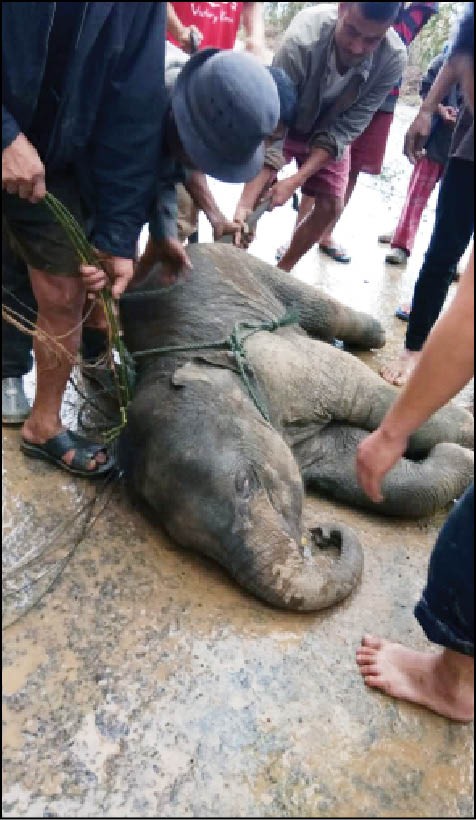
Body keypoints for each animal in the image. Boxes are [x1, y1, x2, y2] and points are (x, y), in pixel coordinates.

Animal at [119, 244, 474, 612]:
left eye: (245, 483)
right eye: (187, 542)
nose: (323, 534)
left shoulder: (283, 362)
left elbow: (372, 397)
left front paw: (460, 445)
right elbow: (354, 467)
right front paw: (456, 456)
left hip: (248, 265)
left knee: (325, 312)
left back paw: (376, 333)